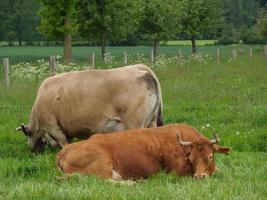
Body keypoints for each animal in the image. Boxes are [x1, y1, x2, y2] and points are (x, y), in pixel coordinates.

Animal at [57, 123, 232, 180]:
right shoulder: (175, 172)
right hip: (102, 166)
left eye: (210, 156)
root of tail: (66, 148)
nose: (199, 177)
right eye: (191, 159)